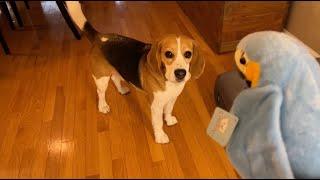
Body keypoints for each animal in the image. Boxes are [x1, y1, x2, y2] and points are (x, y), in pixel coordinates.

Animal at [65, 0, 205, 143]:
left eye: (188, 54)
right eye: (168, 54)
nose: (181, 73)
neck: (169, 82)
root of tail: (100, 37)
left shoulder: (172, 98)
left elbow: (168, 110)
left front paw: (169, 119)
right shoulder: (156, 105)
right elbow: (158, 122)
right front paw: (160, 136)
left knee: (115, 78)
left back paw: (122, 90)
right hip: (101, 78)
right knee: (101, 92)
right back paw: (103, 106)